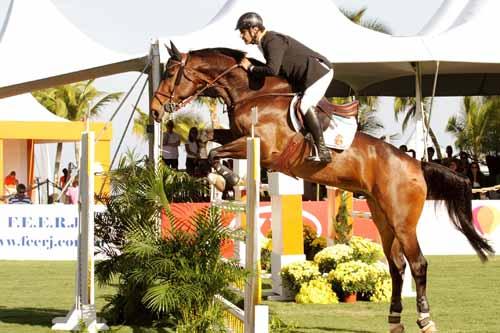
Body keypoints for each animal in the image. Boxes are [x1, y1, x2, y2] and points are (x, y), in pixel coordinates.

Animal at [150, 44, 494, 332]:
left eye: (169, 73)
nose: (155, 111)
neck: (251, 93)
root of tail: (416, 165)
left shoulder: (261, 147)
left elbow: (214, 151)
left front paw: (225, 178)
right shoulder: (235, 135)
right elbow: (206, 136)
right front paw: (209, 173)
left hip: (402, 221)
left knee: (418, 263)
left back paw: (424, 319)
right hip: (382, 216)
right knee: (397, 266)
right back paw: (395, 319)